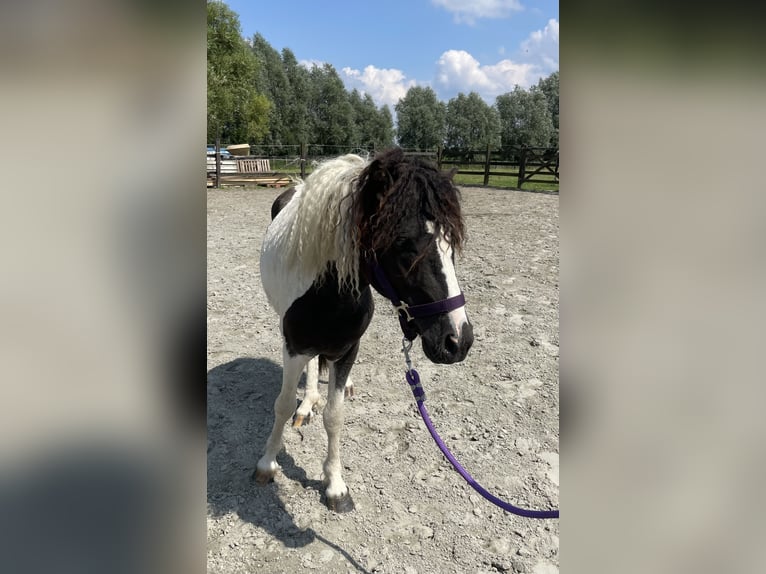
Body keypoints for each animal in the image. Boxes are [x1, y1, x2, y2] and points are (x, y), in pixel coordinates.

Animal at [256, 148, 474, 512]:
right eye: (403, 245)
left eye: (450, 244)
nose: (458, 341)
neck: (328, 294)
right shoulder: (292, 345)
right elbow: (282, 404)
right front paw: (267, 464)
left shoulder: (347, 349)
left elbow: (335, 416)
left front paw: (335, 486)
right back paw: (307, 403)